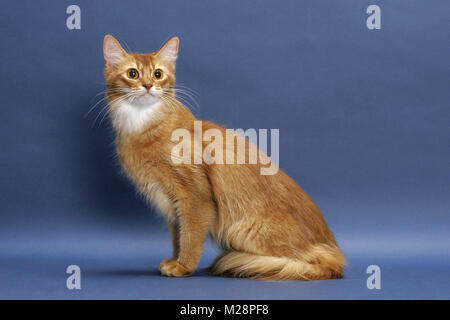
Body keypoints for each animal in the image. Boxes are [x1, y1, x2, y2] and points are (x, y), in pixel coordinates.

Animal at [103, 35, 346, 280]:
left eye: (157, 74)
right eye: (133, 73)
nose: (147, 86)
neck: (140, 126)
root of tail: (335, 255)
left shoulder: (195, 198)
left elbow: (190, 238)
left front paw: (183, 266)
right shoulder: (171, 204)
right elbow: (177, 237)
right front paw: (174, 260)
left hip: (242, 229)